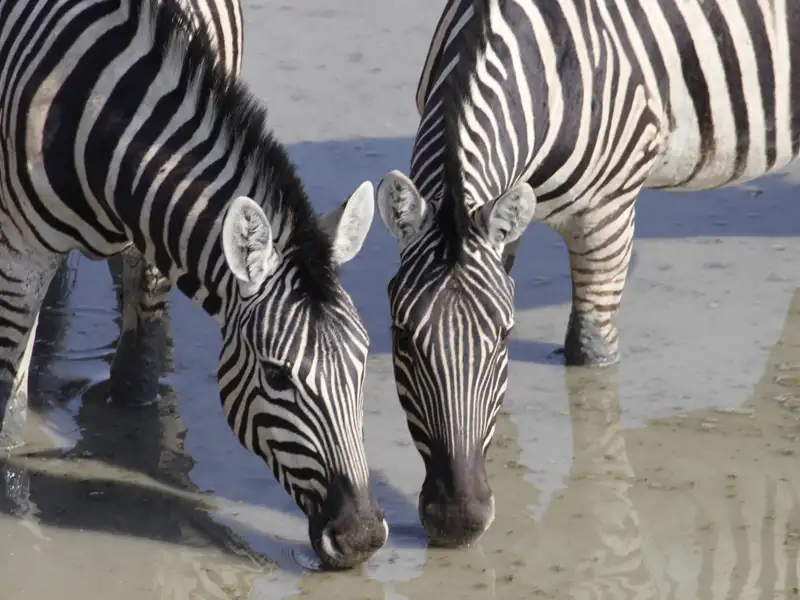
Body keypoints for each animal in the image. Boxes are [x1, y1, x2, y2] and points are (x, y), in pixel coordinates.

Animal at [0, 0, 387, 569]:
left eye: (361, 364)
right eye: (277, 377)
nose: (362, 538)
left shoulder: (156, 236)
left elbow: (137, 376)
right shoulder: (20, 256)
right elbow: (8, 412)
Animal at [371, 0, 800, 547]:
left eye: (504, 336)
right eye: (400, 336)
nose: (458, 521)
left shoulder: (607, 215)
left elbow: (590, 351)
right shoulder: (505, 222)